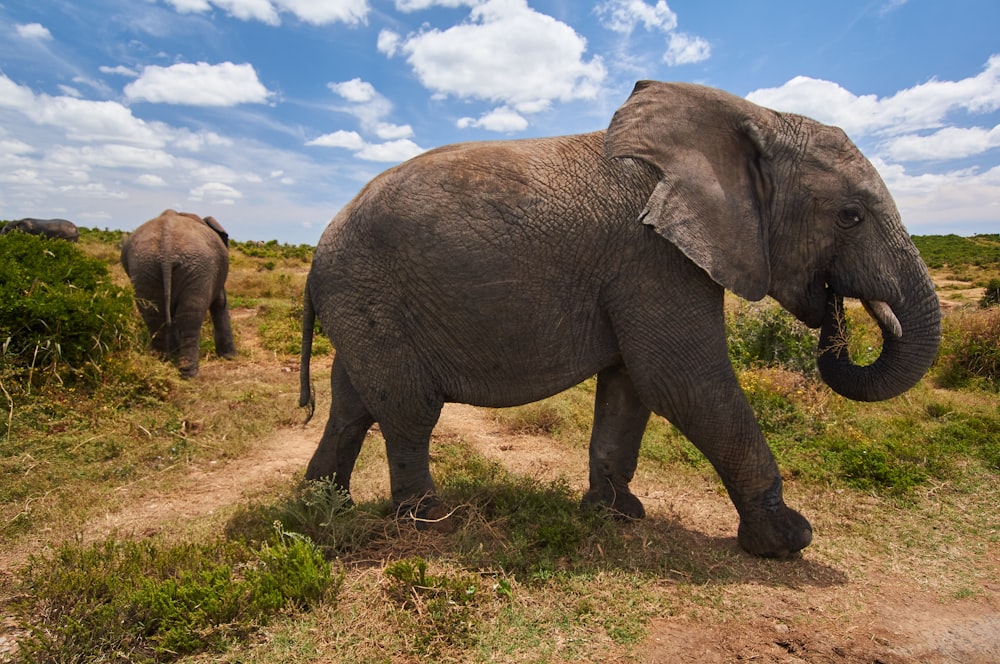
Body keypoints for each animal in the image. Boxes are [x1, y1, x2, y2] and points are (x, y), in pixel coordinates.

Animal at [121, 210, 236, 382]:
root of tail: (166, 247)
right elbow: (220, 303)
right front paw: (230, 357)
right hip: (198, 267)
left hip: (144, 266)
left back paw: (160, 364)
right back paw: (189, 374)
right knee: (190, 317)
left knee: (154, 315)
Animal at [296, 83, 936, 560]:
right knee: (406, 411)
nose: (836, 304)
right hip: (370, 297)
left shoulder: (645, 266)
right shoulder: (655, 257)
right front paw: (789, 540)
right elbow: (685, 384)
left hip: (360, 305)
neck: (754, 117)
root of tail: (316, 255)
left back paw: (320, 509)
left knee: (352, 407)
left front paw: (615, 516)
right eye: (850, 216)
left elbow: (632, 387)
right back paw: (428, 522)